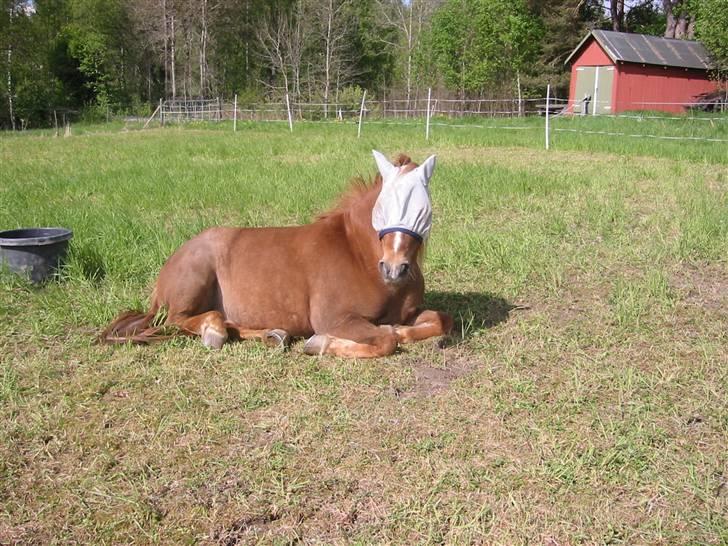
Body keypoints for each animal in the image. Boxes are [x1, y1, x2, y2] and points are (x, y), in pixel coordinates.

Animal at [101, 150, 456, 356]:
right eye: (382, 206)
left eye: (423, 206)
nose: (394, 268)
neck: (360, 255)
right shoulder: (334, 318)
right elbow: (385, 340)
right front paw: (323, 343)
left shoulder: (408, 313)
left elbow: (440, 320)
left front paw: (402, 330)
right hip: (191, 286)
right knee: (179, 320)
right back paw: (214, 333)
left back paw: (273, 335)